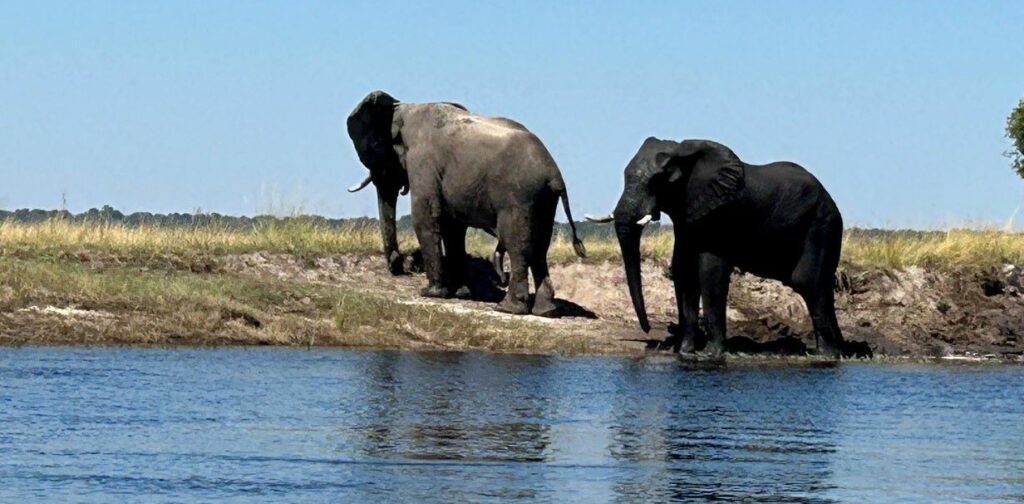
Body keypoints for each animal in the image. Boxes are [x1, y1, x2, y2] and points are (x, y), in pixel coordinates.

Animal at [346, 90, 585, 316]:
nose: (397, 265)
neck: (402, 107)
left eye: (374, 148)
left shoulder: (422, 160)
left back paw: (507, 308)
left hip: (520, 198)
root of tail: (555, 175)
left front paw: (431, 293)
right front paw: (461, 293)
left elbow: (425, 215)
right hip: (543, 200)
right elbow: (453, 226)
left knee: (518, 246)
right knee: (540, 248)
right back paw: (546, 311)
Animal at [590, 137, 846, 358]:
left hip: (821, 225)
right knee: (823, 286)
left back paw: (826, 355)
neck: (683, 153)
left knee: (808, 283)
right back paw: (840, 351)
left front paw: (710, 354)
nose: (648, 329)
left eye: (659, 181)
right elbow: (683, 270)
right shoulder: (688, 215)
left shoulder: (719, 217)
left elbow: (710, 271)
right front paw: (685, 352)